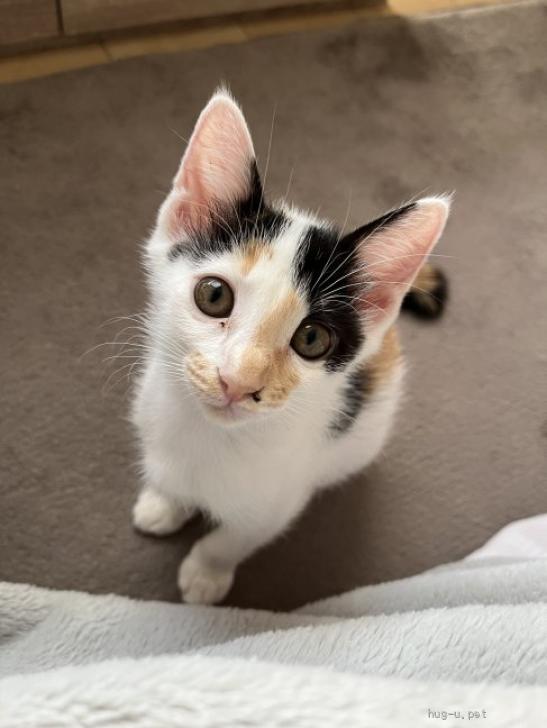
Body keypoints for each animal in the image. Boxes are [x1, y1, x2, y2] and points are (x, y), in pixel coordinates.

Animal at [131, 88, 450, 605]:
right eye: (213, 296)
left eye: (312, 339)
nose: (238, 381)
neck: (210, 436)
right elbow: (170, 478)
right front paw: (163, 502)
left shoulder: (279, 499)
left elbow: (235, 536)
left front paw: (206, 573)